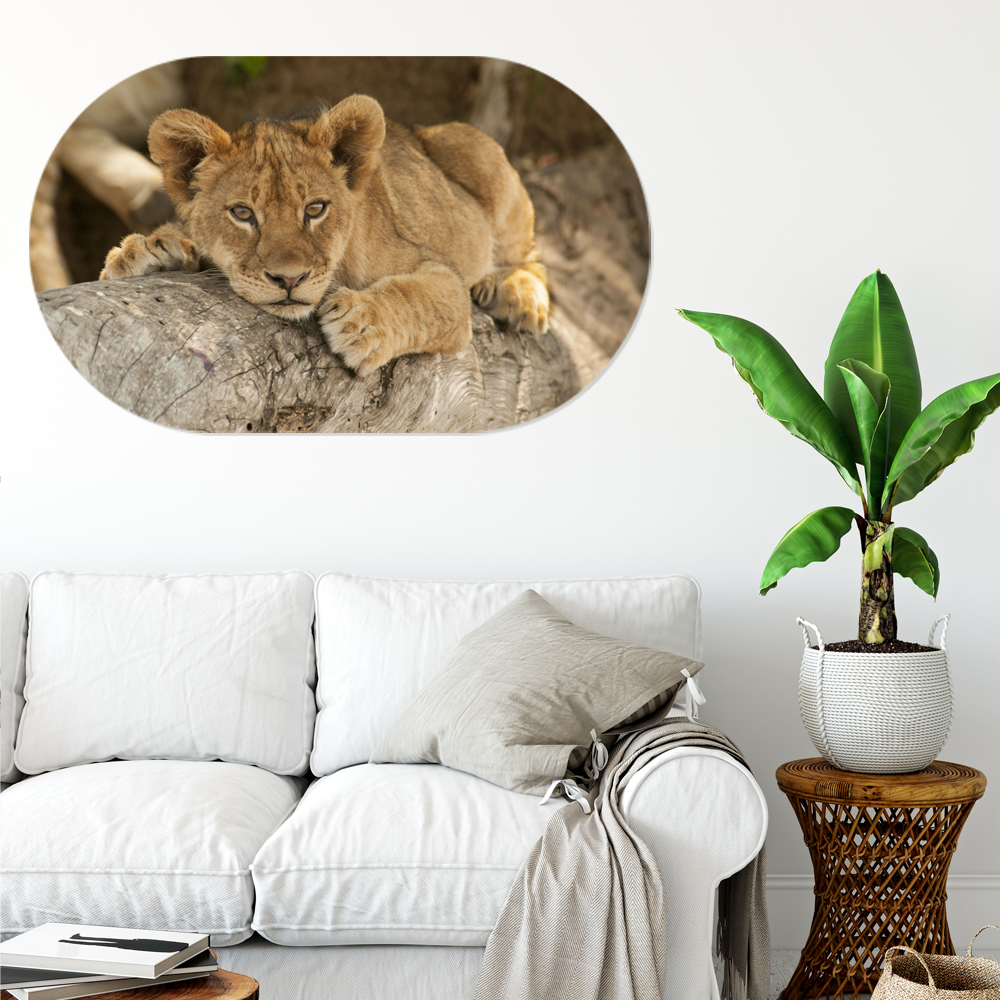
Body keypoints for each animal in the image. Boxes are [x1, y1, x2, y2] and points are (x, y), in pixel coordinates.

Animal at [99, 94, 550, 376]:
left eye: (315, 209)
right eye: (243, 213)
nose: (289, 280)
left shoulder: (440, 274)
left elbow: (419, 297)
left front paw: (361, 323)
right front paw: (146, 251)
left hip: (479, 153)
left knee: (532, 255)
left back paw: (519, 293)